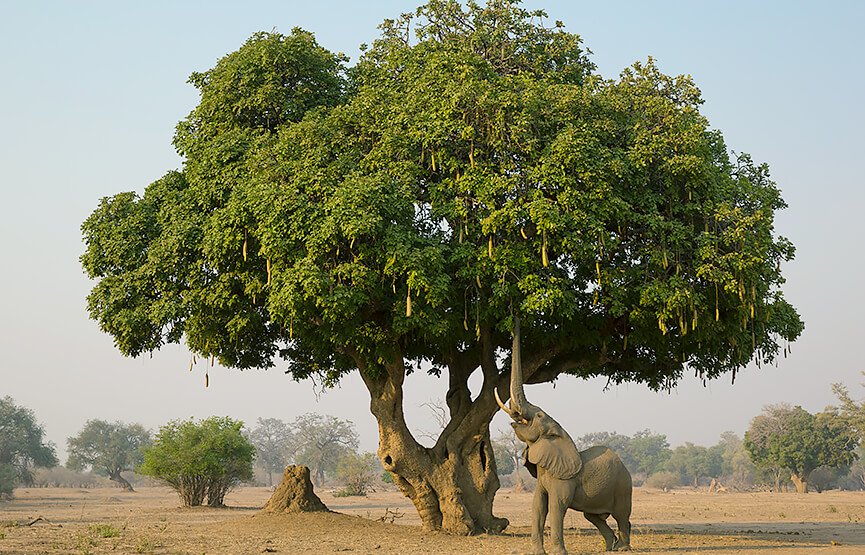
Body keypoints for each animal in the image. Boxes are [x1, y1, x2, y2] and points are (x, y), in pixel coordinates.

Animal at [495, 317, 633, 554]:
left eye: (539, 415)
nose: (516, 317)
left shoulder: (563, 479)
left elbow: (556, 507)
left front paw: (558, 552)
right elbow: (538, 506)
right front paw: (537, 552)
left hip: (624, 487)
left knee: (622, 516)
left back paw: (623, 548)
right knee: (594, 516)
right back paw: (610, 547)